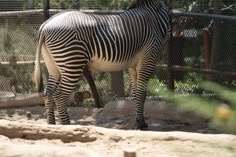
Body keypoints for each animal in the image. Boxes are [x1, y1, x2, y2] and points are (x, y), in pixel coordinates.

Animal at [34, 0, 170, 129]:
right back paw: (67, 126)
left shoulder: (133, 66)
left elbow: (136, 94)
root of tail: (45, 25)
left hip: (53, 66)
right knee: (60, 95)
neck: (153, 19)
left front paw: (139, 121)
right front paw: (141, 124)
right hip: (73, 62)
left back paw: (52, 125)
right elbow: (142, 94)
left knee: (48, 94)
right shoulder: (147, 60)